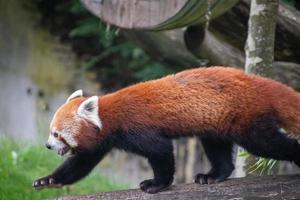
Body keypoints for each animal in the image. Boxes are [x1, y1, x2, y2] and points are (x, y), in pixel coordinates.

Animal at [32, 67, 300, 194]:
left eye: (56, 134)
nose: (47, 145)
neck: (108, 116)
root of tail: (258, 82)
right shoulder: (100, 142)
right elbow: (81, 164)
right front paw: (48, 180)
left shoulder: (137, 127)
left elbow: (161, 152)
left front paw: (156, 184)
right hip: (217, 121)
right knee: (218, 149)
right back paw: (213, 175)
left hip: (247, 121)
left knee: (268, 144)